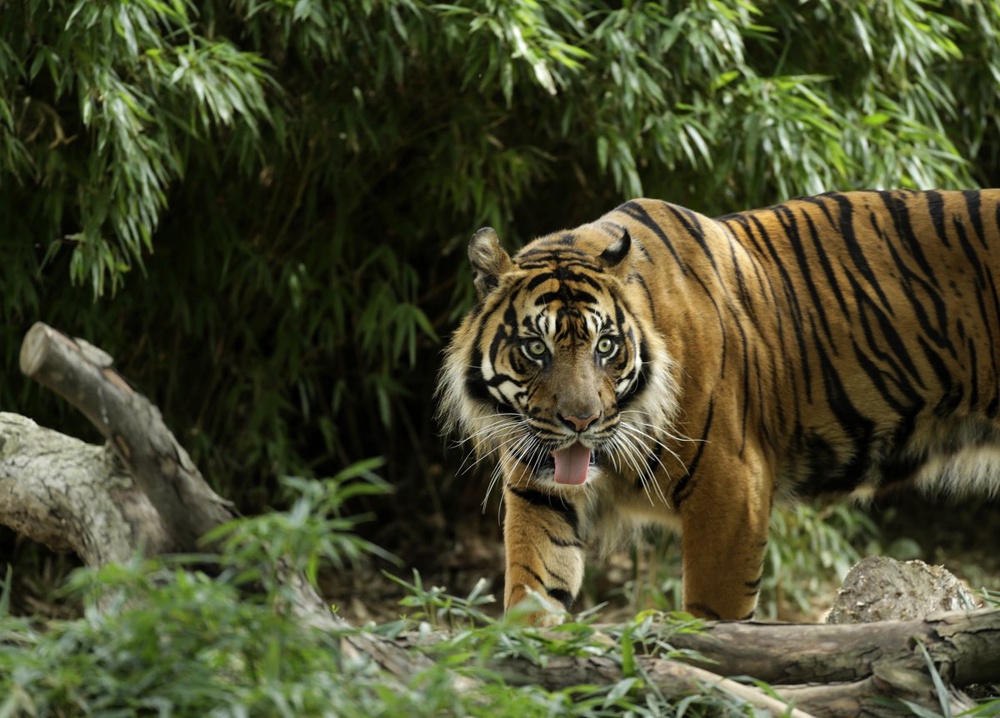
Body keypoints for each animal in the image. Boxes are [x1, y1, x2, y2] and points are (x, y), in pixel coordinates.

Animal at [437, 189, 1000, 623]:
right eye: (537, 348)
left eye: (605, 346)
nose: (581, 422)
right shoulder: (539, 490)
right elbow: (534, 585)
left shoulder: (732, 488)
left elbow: (714, 614)